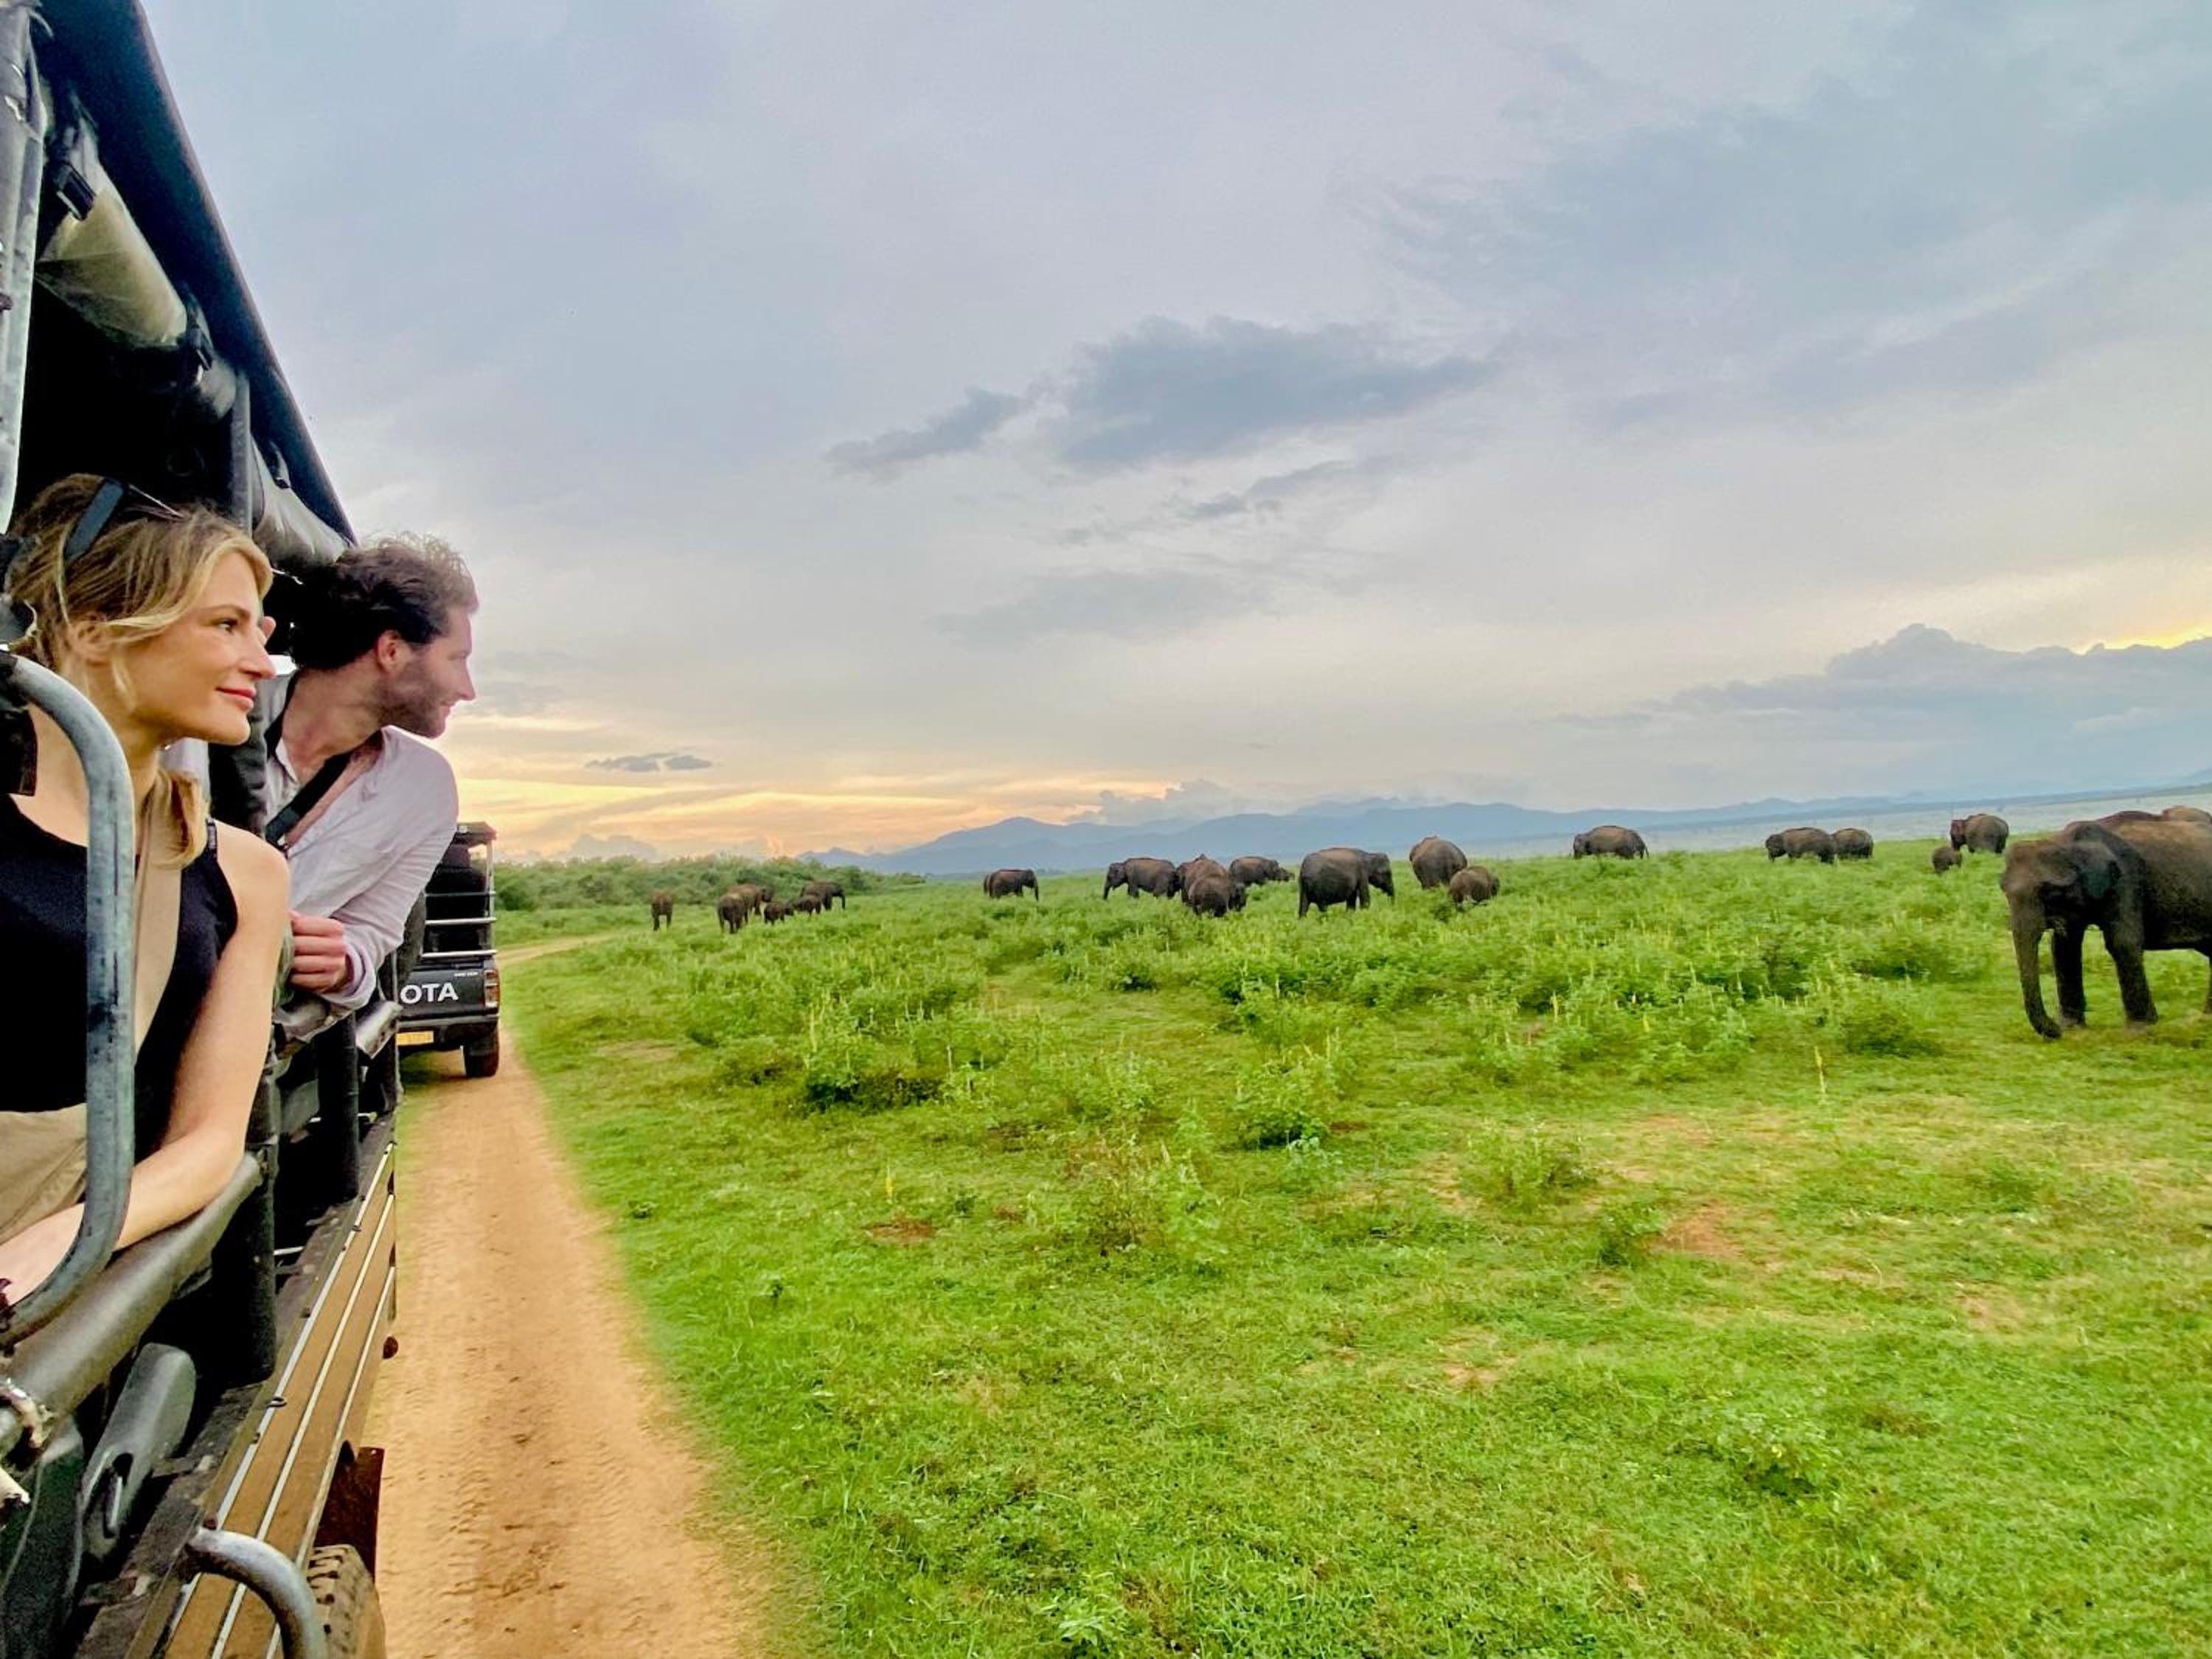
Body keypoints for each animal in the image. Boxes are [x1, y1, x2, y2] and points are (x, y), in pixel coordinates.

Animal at [2001, 812, 2212, 1039]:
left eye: (2049, 891)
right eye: (2004, 891)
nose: (2055, 1029)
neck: (2065, 840)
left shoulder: (2126, 881)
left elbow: (2122, 943)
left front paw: (2139, 1030)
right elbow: (2063, 947)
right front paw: (2070, 1027)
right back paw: (2206, 1018)